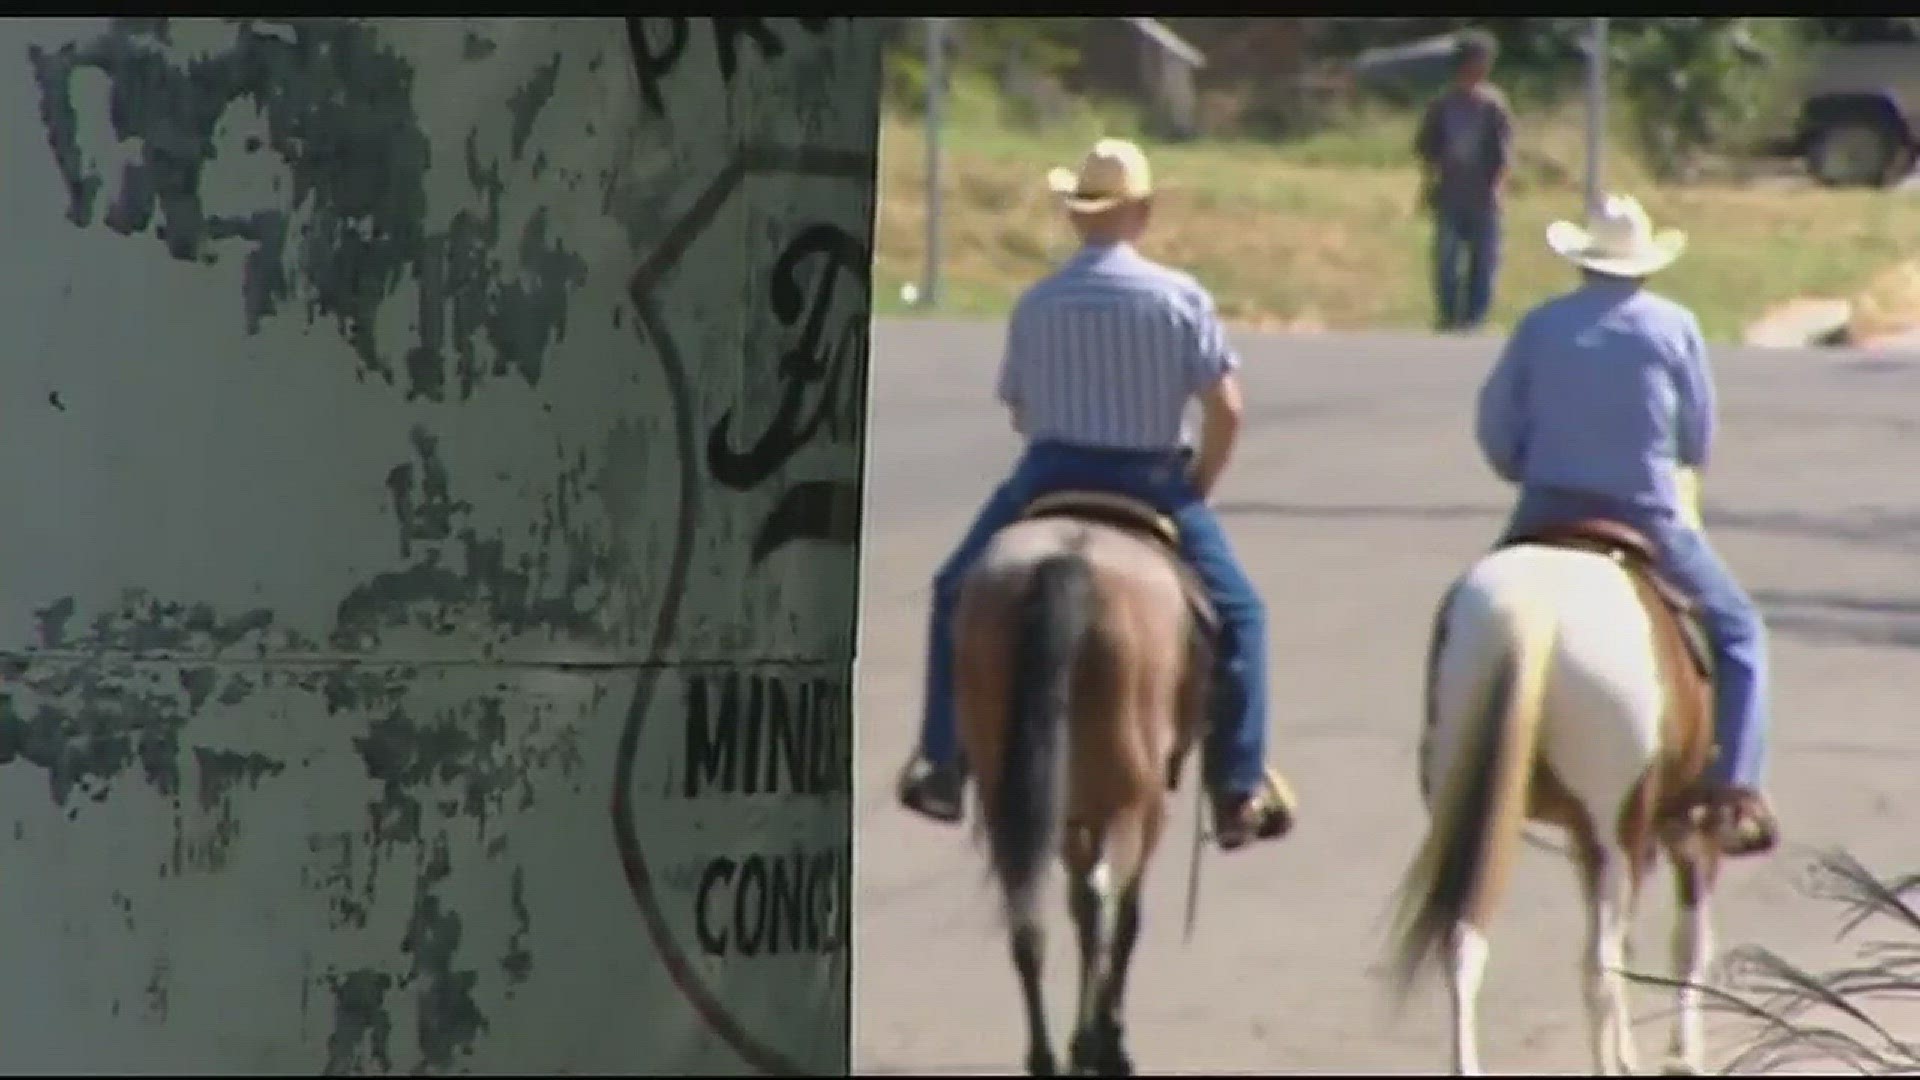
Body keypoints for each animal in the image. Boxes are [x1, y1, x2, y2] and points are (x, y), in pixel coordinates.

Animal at [952, 491, 1205, 1068]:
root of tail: (1066, 559)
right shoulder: (1137, 810)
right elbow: (1125, 918)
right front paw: (1108, 1035)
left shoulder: (1067, 817)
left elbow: (1079, 914)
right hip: (1133, 799)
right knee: (1103, 894)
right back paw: (1094, 1043)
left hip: (1016, 799)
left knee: (1029, 908)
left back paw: (1045, 1055)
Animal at [1382, 468, 1728, 1068]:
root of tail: (1534, 608)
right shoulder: (1682, 826)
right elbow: (1683, 942)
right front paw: (1677, 1054)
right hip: (1618, 826)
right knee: (1601, 964)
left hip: (1481, 812)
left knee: (1465, 938)